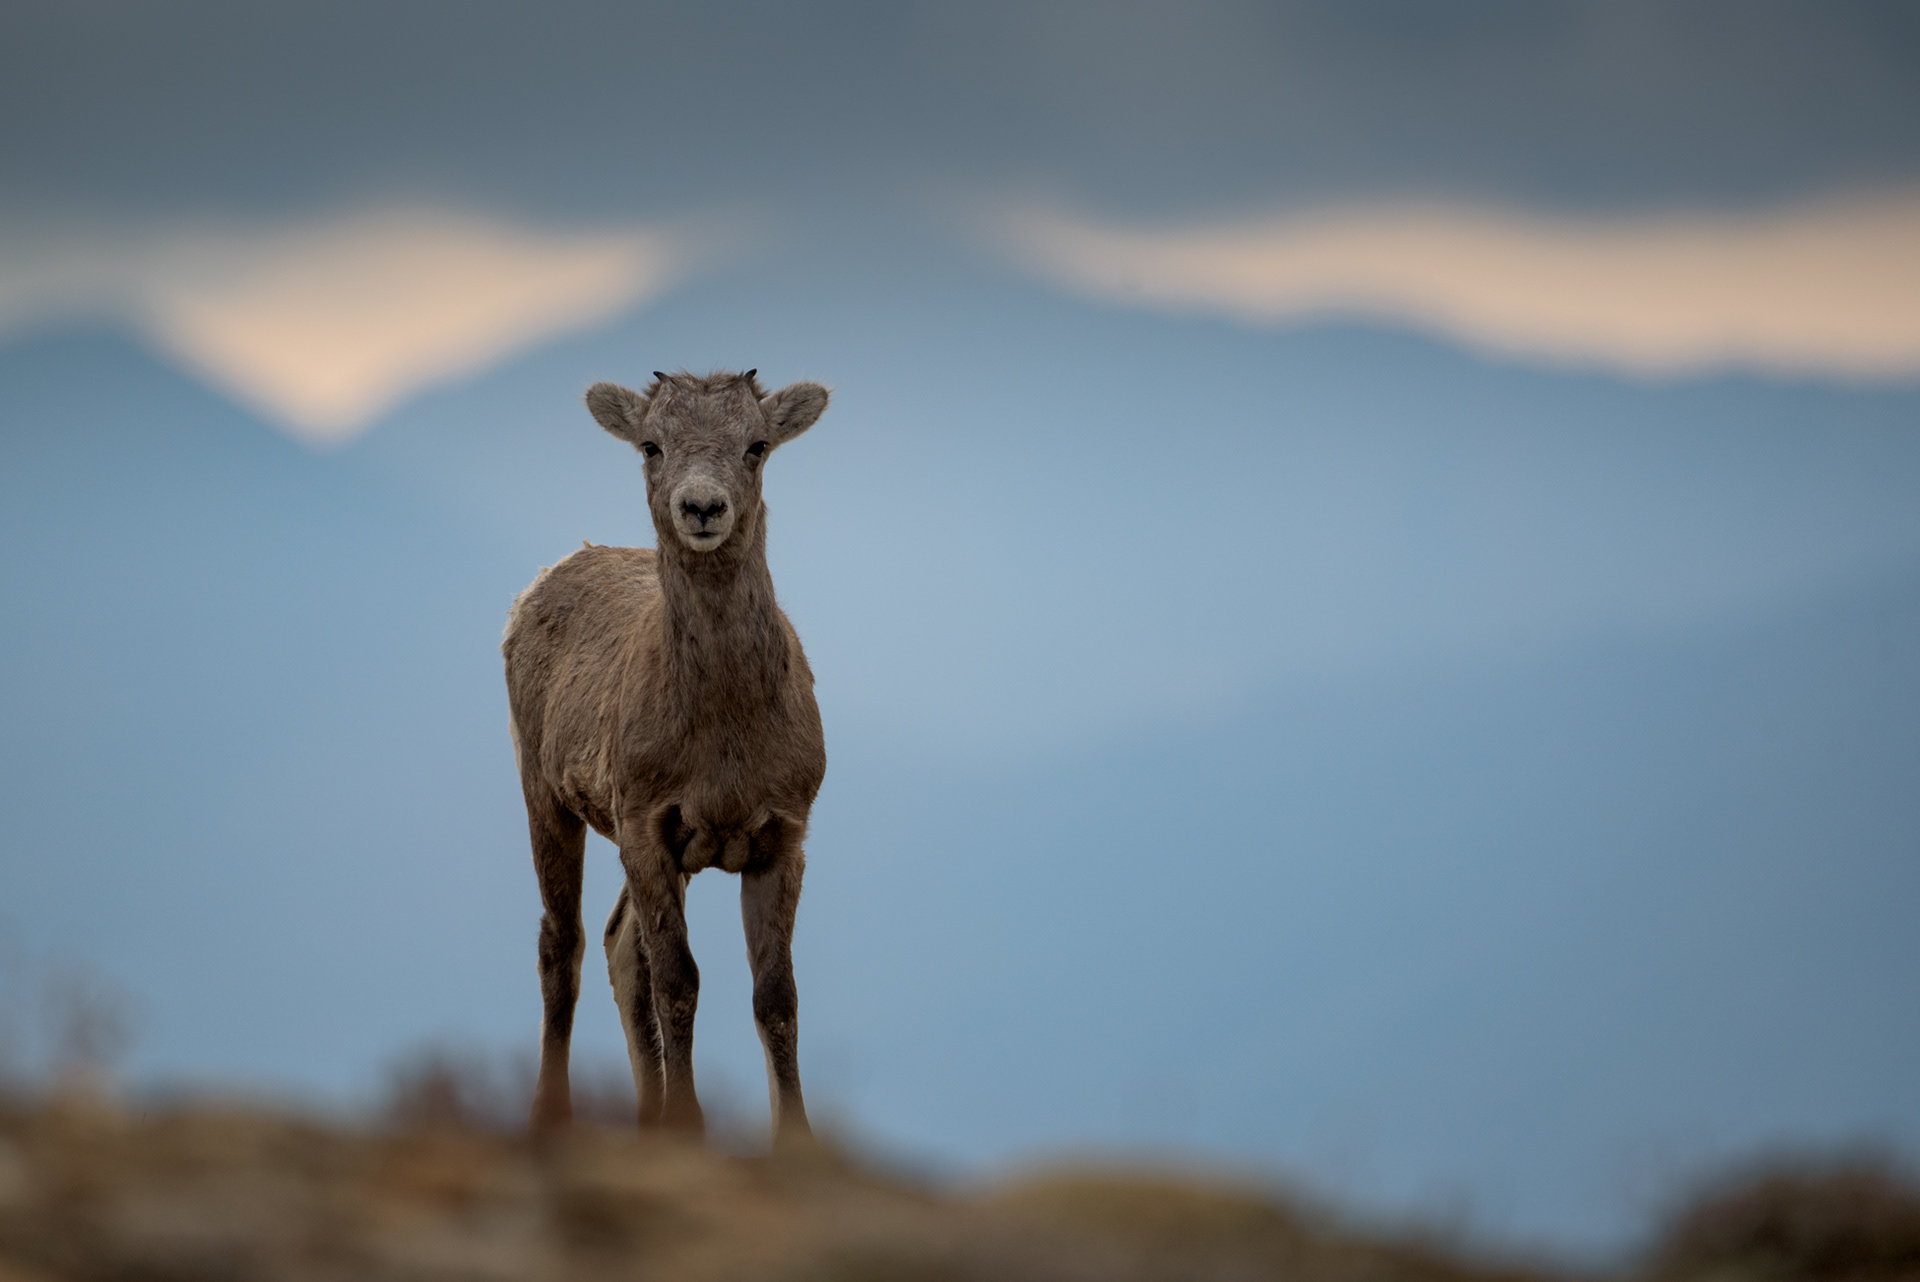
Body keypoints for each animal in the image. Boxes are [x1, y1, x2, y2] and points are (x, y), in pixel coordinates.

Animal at [502, 369, 830, 1143]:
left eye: (756, 445)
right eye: (652, 445)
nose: (702, 506)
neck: (724, 743)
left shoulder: (783, 833)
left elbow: (776, 993)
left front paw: (796, 1138)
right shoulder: (649, 822)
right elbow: (678, 978)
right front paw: (687, 1122)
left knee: (621, 944)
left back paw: (642, 1114)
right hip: (545, 794)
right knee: (565, 943)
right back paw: (552, 1114)